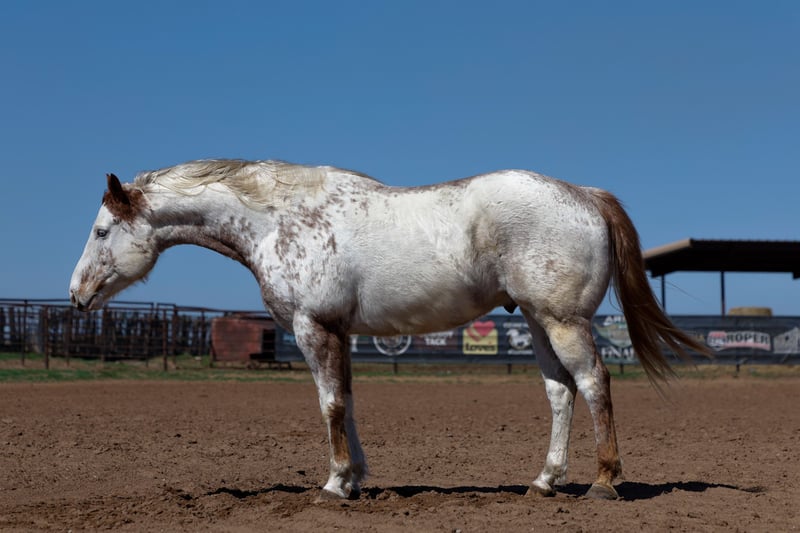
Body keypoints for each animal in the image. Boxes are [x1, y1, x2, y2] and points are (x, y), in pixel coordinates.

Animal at [69, 159, 707, 501]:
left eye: (101, 231)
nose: (77, 293)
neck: (279, 220)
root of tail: (586, 197)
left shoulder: (313, 328)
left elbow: (328, 405)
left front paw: (334, 486)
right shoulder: (338, 332)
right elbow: (347, 403)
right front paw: (354, 479)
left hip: (563, 321)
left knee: (595, 384)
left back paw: (603, 481)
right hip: (537, 321)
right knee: (560, 392)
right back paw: (545, 481)